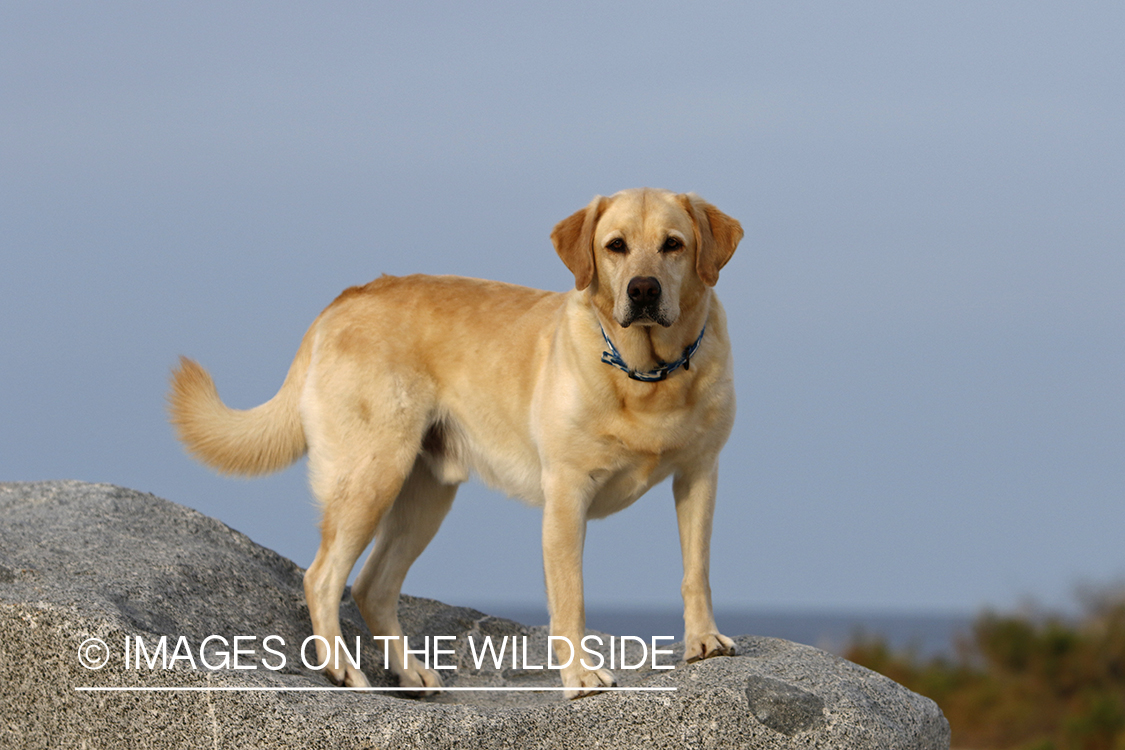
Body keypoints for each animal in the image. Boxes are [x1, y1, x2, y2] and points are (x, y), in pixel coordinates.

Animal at [166, 188, 742, 697]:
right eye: (615, 245)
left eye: (673, 244)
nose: (643, 290)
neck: (646, 377)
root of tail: (342, 300)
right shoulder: (566, 495)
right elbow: (570, 598)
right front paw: (580, 676)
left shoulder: (700, 474)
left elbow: (697, 570)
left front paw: (703, 640)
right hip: (371, 476)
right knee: (322, 576)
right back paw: (342, 669)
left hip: (424, 497)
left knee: (372, 585)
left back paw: (409, 672)